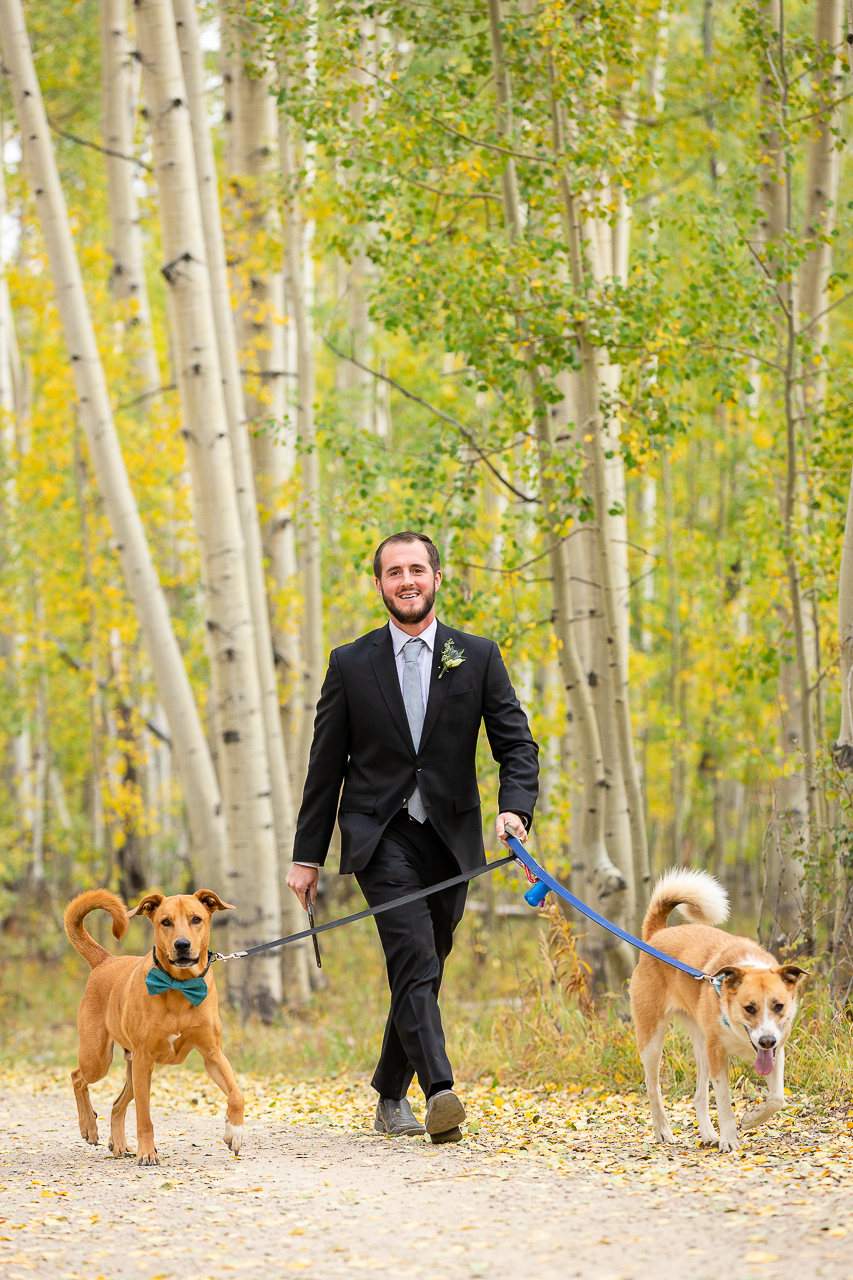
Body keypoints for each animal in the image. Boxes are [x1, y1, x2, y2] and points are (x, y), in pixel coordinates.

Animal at [62, 885, 242, 1167]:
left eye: (196, 919)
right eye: (165, 922)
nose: (182, 945)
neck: (179, 986)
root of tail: (106, 960)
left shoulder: (213, 1054)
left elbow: (237, 1094)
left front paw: (234, 1131)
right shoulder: (144, 1058)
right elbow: (144, 1117)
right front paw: (147, 1152)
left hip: (132, 1068)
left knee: (117, 1104)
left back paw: (119, 1145)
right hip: (100, 1059)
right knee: (78, 1076)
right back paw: (88, 1126)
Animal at [630, 870, 804, 1152]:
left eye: (778, 1006)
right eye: (749, 1008)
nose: (766, 1041)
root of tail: (657, 935)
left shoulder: (776, 1052)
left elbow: (777, 1098)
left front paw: (751, 1119)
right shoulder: (718, 1054)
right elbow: (723, 1101)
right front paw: (730, 1139)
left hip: (701, 1045)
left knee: (699, 1096)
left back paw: (709, 1135)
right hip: (652, 1038)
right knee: (653, 1085)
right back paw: (664, 1131)